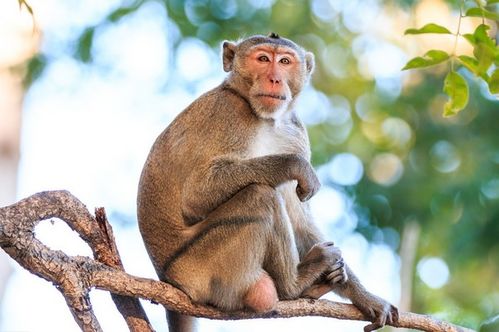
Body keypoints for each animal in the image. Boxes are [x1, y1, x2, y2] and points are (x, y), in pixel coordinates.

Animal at [138, 31, 398, 332]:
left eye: (284, 61)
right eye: (262, 59)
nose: (274, 79)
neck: (264, 119)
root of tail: (170, 279)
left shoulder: (294, 132)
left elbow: (300, 221)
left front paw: (365, 297)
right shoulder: (228, 113)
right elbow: (197, 195)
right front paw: (295, 166)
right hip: (201, 267)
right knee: (259, 196)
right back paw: (295, 285)